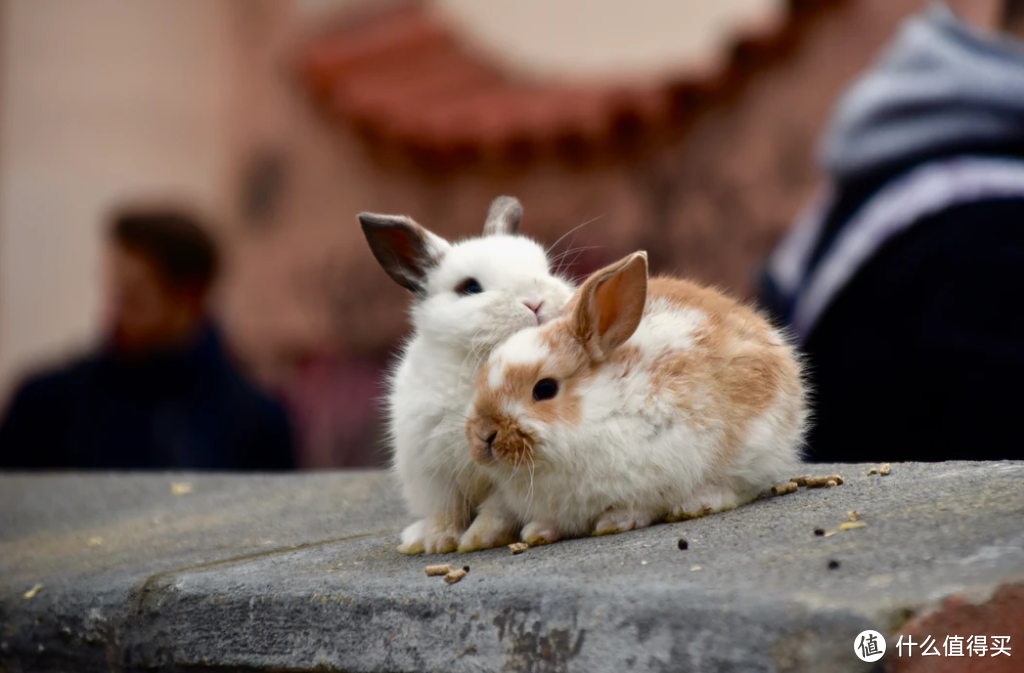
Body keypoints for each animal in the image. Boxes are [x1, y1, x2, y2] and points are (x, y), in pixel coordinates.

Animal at [360, 196, 573, 553]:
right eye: (470, 288)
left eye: (546, 270)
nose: (535, 302)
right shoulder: (434, 472)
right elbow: (445, 511)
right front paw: (439, 543)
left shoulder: (506, 475)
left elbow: (496, 510)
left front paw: (477, 540)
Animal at [462, 248, 806, 549]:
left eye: (544, 389)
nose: (484, 435)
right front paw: (538, 531)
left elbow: (640, 504)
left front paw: (615, 522)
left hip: (755, 445)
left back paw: (696, 504)